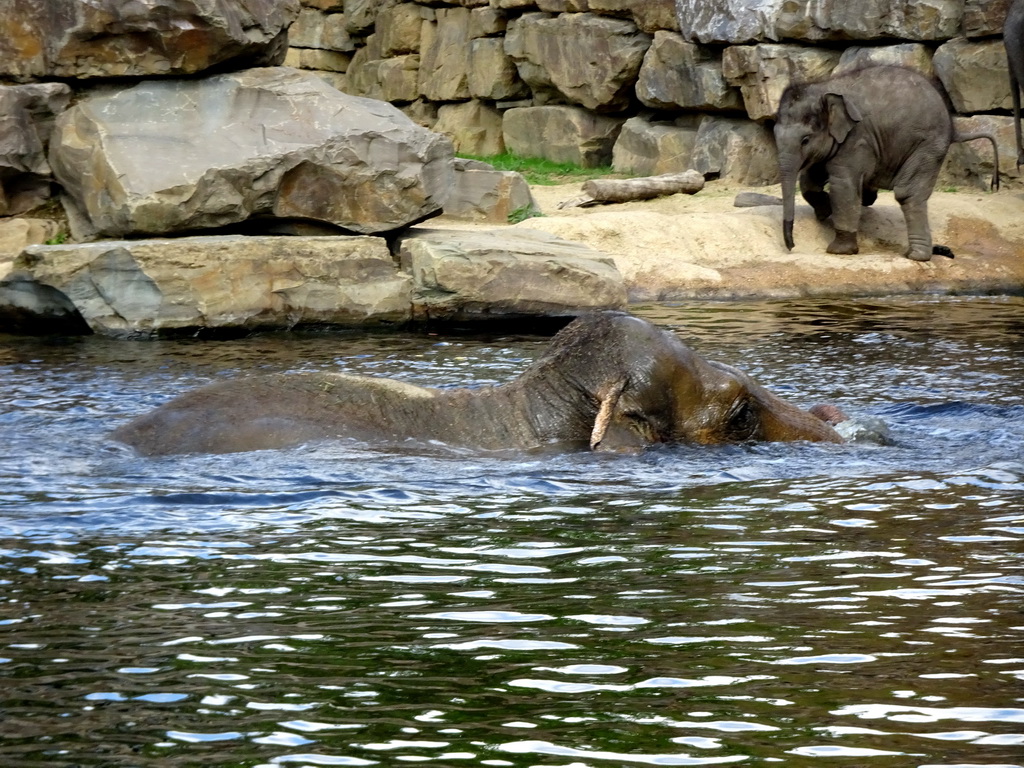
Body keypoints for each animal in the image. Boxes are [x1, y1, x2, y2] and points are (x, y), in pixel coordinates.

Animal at [778, 64, 995, 262]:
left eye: (805, 140)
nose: (791, 246)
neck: (824, 87)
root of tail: (953, 126)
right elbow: (810, 179)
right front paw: (824, 212)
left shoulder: (857, 139)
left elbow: (842, 185)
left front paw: (839, 251)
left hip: (928, 146)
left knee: (908, 193)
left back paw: (916, 256)